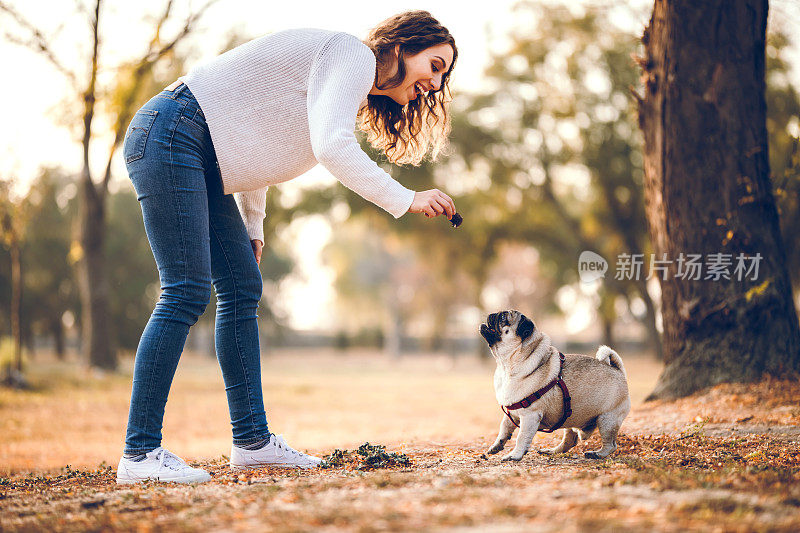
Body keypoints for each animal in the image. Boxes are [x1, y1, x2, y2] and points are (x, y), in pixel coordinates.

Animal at [482, 310, 632, 460]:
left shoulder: (530, 416)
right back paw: (552, 451)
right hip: (571, 416)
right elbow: (504, 428)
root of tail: (617, 369)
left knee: (611, 445)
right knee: (570, 441)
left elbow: (521, 437)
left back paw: (596, 454)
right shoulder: (512, 411)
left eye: (503, 318)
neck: (506, 365)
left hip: (607, 420)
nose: (492, 314)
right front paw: (497, 445)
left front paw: (515, 455)